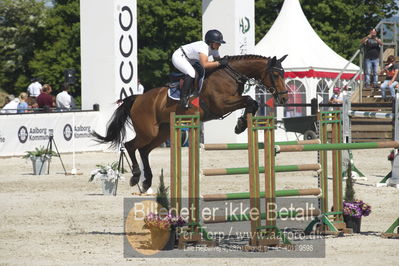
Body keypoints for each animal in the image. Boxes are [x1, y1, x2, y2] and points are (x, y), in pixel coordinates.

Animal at [92, 54, 290, 191]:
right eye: (275, 74)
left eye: (284, 73)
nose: (284, 99)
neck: (230, 75)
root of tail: (138, 98)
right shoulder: (221, 104)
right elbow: (250, 100)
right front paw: (241, 124)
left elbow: (252, 102)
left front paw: (241, 124)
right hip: (147, 131)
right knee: (131, 145)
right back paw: (136, 177)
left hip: (162, 132)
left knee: (144, 150)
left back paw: (147, 180)